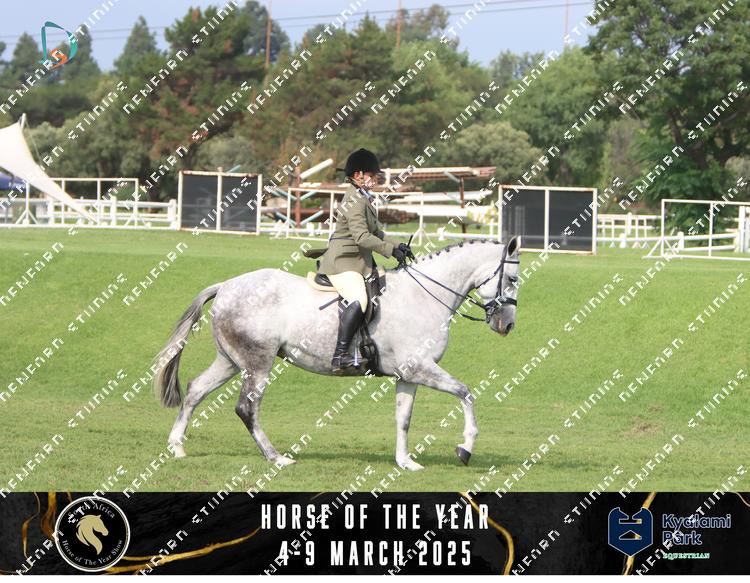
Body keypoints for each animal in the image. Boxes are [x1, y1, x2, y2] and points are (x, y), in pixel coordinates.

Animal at [153, 236, 520, 471]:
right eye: (513, 279)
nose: (507, 325)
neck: (425, 295)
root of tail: (225, 286)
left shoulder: (408, 375)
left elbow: (403, 418)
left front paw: (405, 462)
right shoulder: (419, 367)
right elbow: (465, 393)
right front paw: (465, 449)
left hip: (230, 361)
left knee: (196, 390)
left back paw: (177, 446)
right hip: (258, 363)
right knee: (247, 408)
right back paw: (277, 458)